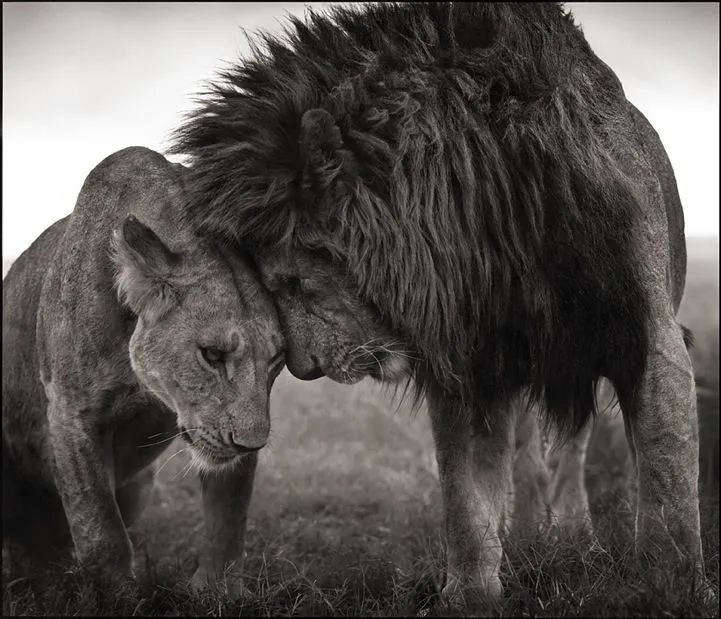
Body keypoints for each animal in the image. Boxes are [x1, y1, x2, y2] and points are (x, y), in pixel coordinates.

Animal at [2, 147, 284, 596]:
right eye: (212, 354)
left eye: (275, 360)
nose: (250, 444)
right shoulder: (71, 412)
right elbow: (99, 526)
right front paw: (114, 595)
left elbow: (229, 516)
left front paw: (218, 590)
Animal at [172, 1, 704, 612]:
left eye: (291, 282)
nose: (304, 370)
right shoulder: (468, 364)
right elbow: (466, 495)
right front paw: (471, 593)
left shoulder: (648, 337)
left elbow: (667, 482)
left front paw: (673, 591)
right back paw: (527, 535)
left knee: (570, 448)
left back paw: (572, 536)